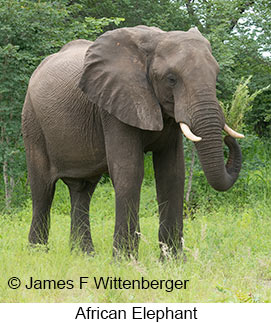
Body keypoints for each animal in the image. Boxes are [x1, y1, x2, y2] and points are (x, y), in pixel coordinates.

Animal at [21, 25, 244, 260]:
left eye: (216, 76)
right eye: (171, 79)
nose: (228, 139)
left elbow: (172, 174)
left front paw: (173, 260)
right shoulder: (115, 103)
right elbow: (130, 172)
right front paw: (125, 260)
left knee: (82, 189)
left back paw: (84, 255)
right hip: (32, 120)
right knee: (43, 189)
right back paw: (37, 253)